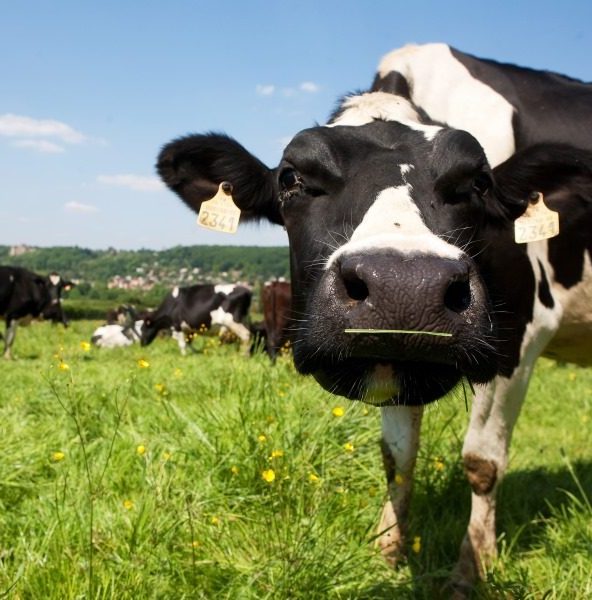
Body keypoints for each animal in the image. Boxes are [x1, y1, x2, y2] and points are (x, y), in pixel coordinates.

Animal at [154, 44, 592, 592]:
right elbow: (396, 456)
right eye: (291, 178)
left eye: (478, 182)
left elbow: (481, 461)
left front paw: (471, 571)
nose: (404, 286)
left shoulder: (521, 336)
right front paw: (386, 552)